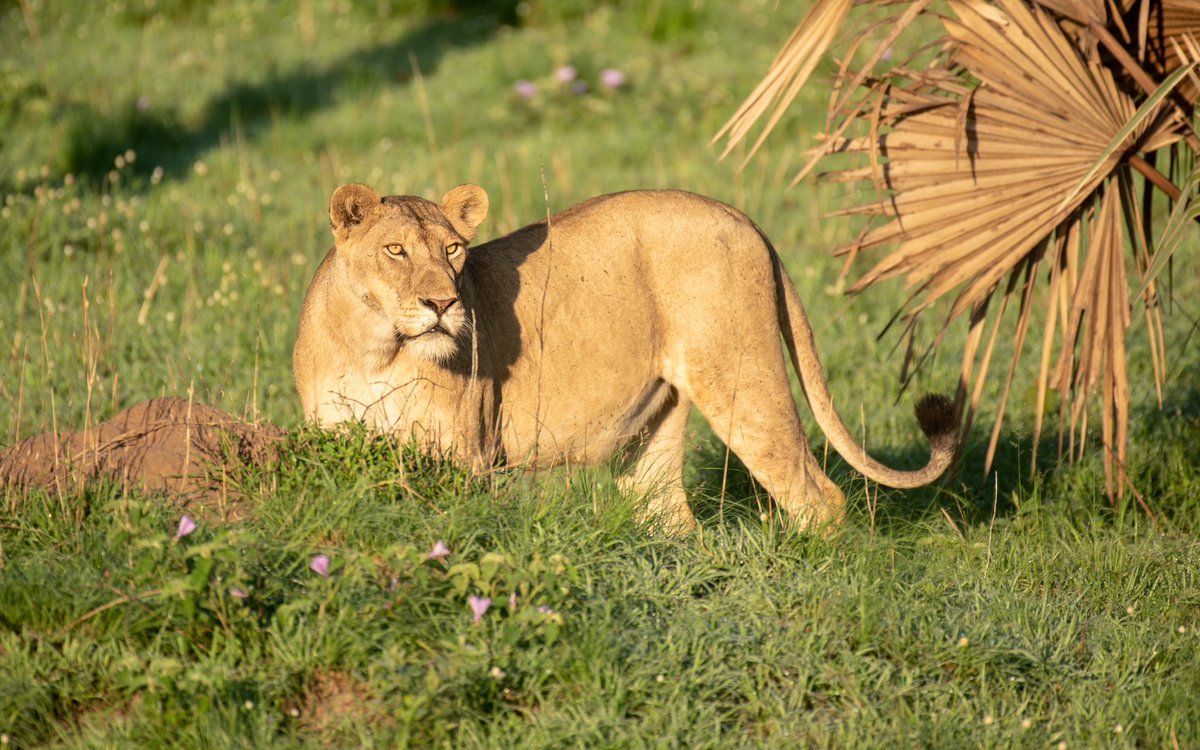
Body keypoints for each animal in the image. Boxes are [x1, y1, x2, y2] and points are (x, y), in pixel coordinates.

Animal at [293, 183, 957, 534]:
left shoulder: (466, 456)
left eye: (454, 249)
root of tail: (742, 216)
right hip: (652, 430)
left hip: (743, 380)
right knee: (672, 517)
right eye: (395, 250)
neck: (378, 347)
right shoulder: (335, 434)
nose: (443, 303)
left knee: (819, 497)